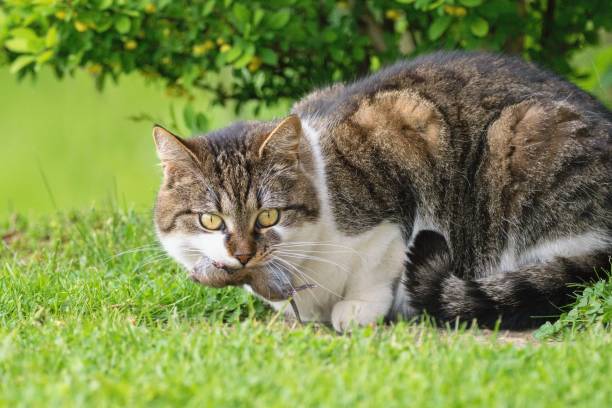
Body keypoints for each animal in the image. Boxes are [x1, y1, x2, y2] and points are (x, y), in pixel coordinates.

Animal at [153, 51, 612, 332]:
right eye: (210, 220)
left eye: (269, 216)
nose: (244, 255)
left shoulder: (406, 134)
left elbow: (379, 264)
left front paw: (357, 309)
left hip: (521, 136)